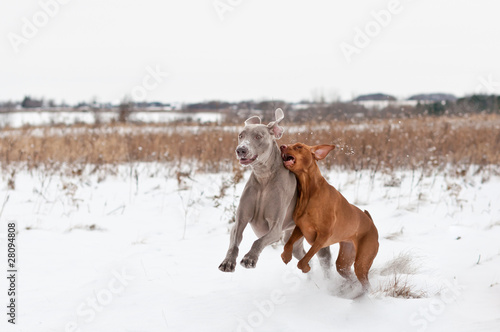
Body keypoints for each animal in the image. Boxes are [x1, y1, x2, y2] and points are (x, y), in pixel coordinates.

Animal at [219, 109, 332, 272]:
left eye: (258, 136)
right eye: (241, 135)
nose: (241, 150)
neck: (264, 178)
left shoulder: (275, 228)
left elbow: (258, 241)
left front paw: (250, 258)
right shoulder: (240, 221)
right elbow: (234, 241)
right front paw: (228, 262)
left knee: (324, 257)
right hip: (292, 237)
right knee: (302, 256)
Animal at [280, 143, 376, 290]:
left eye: (298, 146)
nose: (282, 146)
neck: (309, 191)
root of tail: (372, 224)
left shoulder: (323, 236)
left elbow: (303, 260)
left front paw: (306, 267)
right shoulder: (301, 227)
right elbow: (288, 243)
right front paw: (286, 256)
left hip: (362, 262)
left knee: (366, 284)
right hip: (344, 262)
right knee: (351, 277)